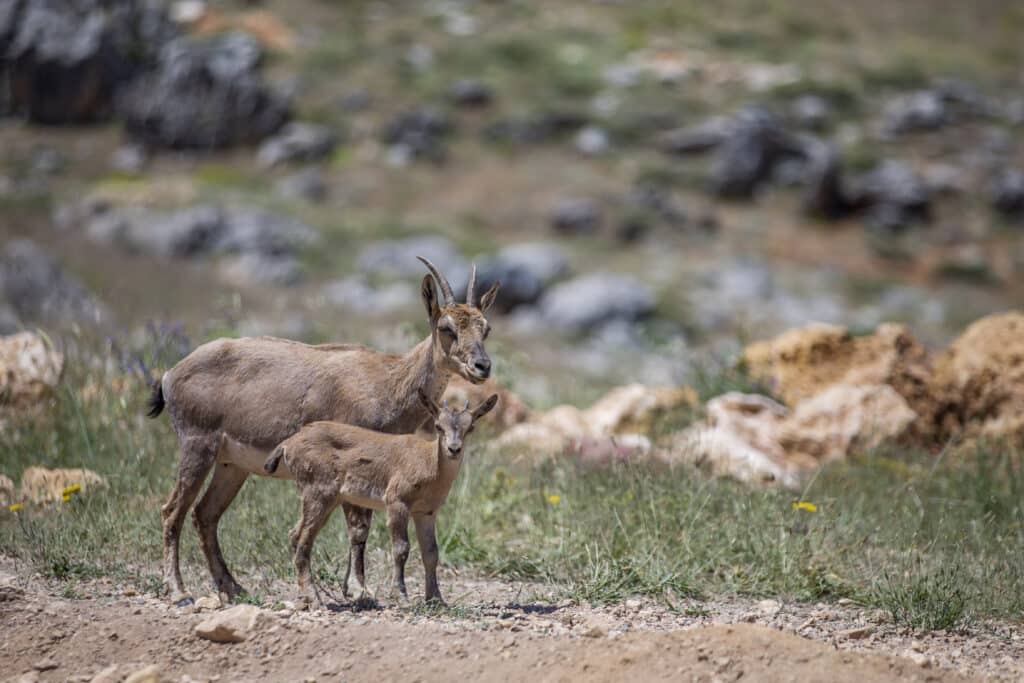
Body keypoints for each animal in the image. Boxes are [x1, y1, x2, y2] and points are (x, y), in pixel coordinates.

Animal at [147, 258, 495, 602]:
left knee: (205, 514)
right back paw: (178, 590)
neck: (388, 383)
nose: (482, 366)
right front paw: (358, 588)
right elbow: (359, 526)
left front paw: (354, 587)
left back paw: (233, 588)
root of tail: (170, 375)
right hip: (197, 446)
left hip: (231, 465)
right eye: (446, 328)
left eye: (486, 328)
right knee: (172, 511)